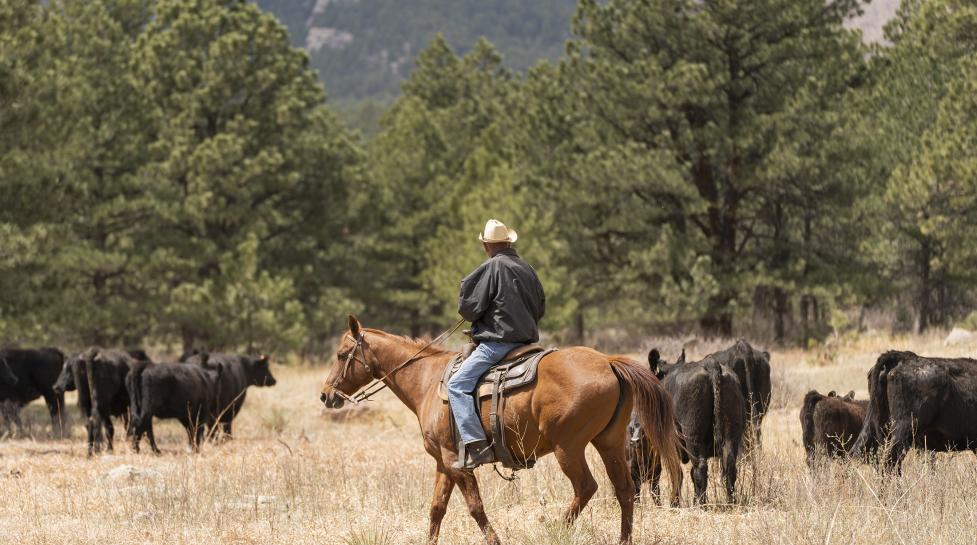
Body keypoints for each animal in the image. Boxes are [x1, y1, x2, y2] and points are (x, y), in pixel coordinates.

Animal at [320, 314, 680, 544]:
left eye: (341, 354)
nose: (325, 395)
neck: (427, 380)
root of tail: (608, 362)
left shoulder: (457, 463)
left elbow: (475, 508)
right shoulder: (443, 463)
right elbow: (437, 509)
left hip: (569, 448)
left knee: (586, 487)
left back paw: (556, 530)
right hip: (610, 443)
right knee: (624, 490)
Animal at [628, 348, 744, 506]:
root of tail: (711, 363)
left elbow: (677, 473)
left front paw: (674, 503)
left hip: (693, 437)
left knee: (700, 468)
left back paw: (700, 504)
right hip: (730, 435)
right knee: (729, 465)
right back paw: (730, 502)